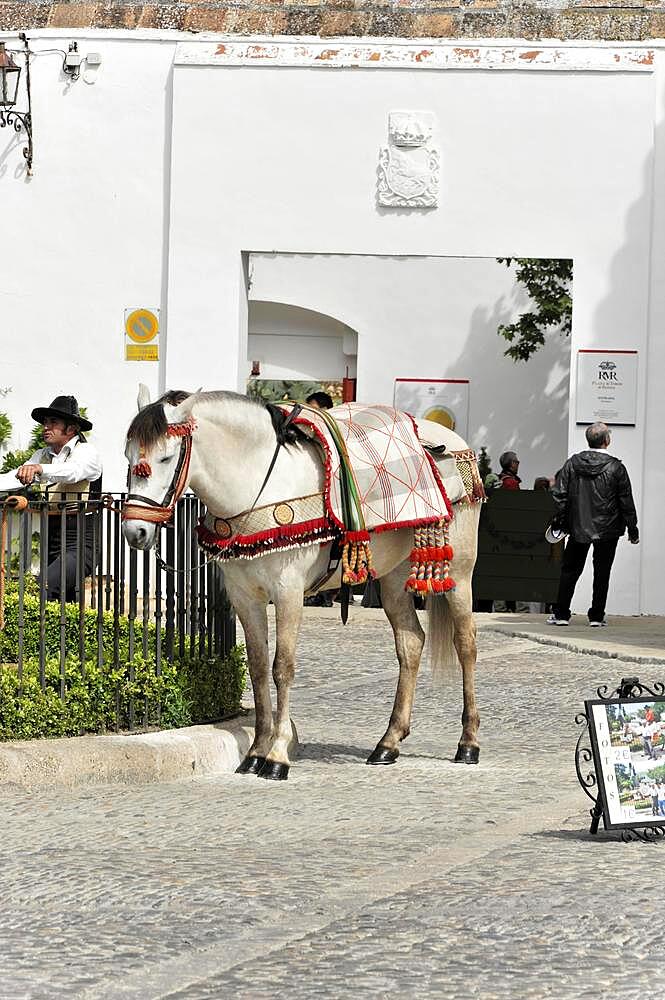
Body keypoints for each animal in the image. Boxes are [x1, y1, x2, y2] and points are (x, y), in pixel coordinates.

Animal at [122, 390, 480, 780]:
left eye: (166, 457)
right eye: (128, 457)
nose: (135, 531)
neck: (255, 487)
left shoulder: (288, 593)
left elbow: (283, 668)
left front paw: (277, 756)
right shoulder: (245, 597)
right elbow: (258, 668)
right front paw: (255, 752)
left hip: (459, 572)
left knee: (465, 644)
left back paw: (468, 743)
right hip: (393, 577)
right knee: (411, 643)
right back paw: (388, 742)